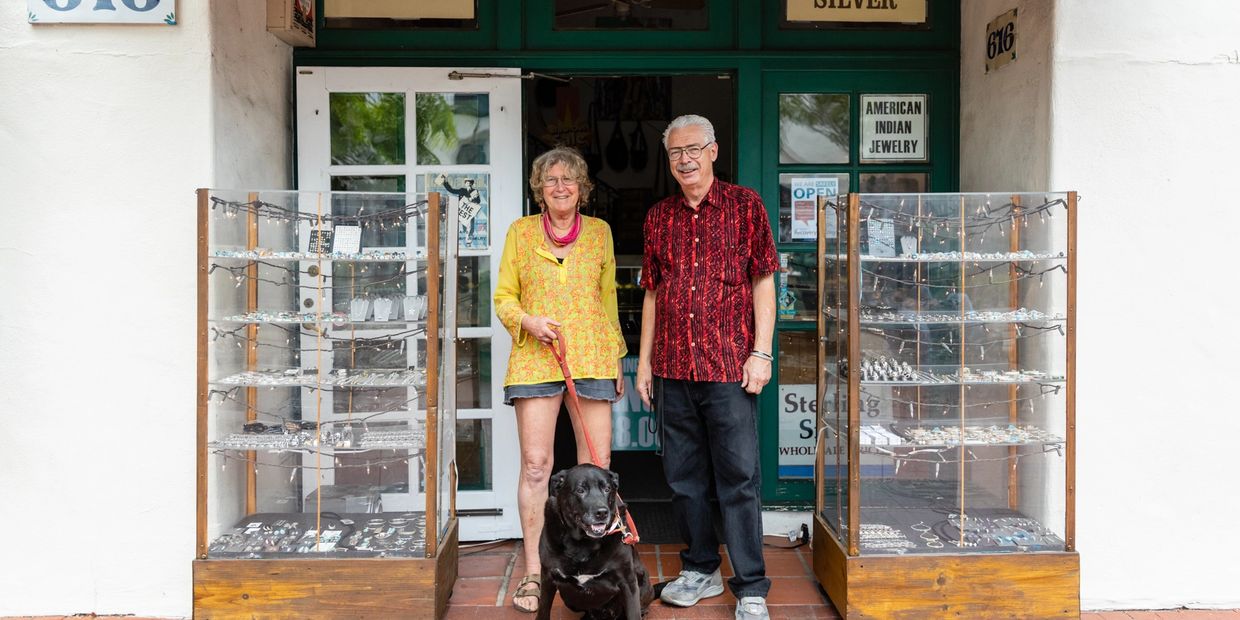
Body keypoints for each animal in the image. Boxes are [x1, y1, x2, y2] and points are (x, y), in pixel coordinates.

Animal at [535, 463, 654, 617]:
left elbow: (634, 614)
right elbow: (543, 610)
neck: (582, 543)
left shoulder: (628, 583)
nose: (602, 513)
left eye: (607, 489)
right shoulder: (547, 578)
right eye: (580, 490)